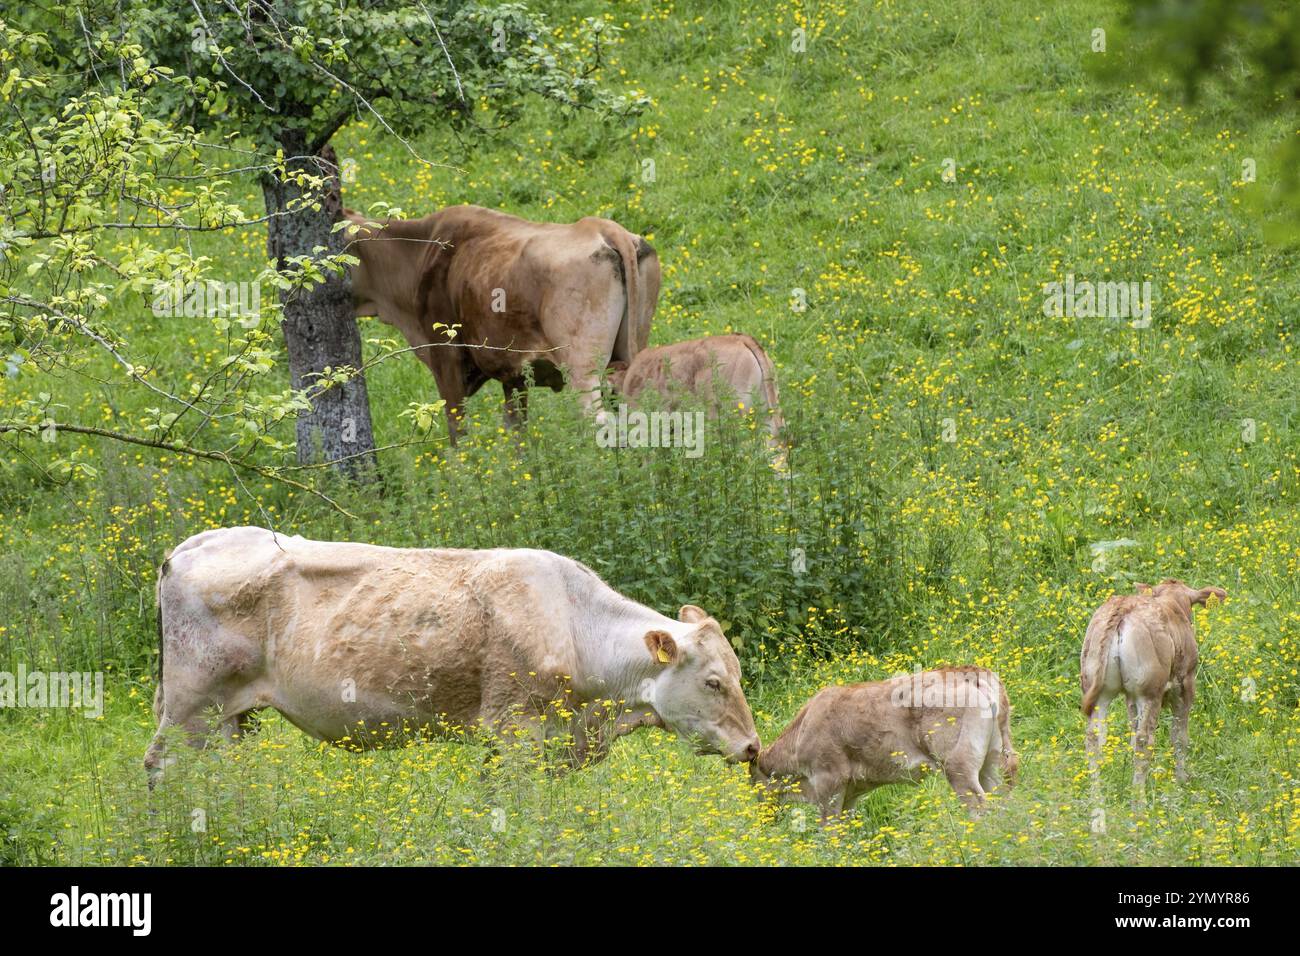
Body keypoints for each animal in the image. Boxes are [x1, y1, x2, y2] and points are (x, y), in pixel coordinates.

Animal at [144, 527, 758, 785]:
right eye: (713, 682)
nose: (753, 747)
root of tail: (188, 546)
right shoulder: (515, 726)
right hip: (190, 704)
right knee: (160, 766)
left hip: (232, 716)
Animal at [344, 205, 660, 443]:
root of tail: (600, 226)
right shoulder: (514, 374)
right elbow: (515, 432)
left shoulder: (445, 360)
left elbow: (458, 435)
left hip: (582, 368)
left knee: (600, 422)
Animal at [750, 667, 1018, 823]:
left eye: (754, 785)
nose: (762, 819)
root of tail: (972, 672)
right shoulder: (850, 791)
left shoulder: (829, 781)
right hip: (992, 760)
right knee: (1001, 796)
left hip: (958, 766)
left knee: (980, 806)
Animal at [1080, 579, 1226, 797]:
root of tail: (1122, 607)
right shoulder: (1185, 682)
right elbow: (1179, 737)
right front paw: (1182, 781)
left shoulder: (1130, 696)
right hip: (1149, 691)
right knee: (1144, 741)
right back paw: (1138, 798)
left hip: (1098, 688)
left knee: (1094, 737)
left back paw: (1097, 797)